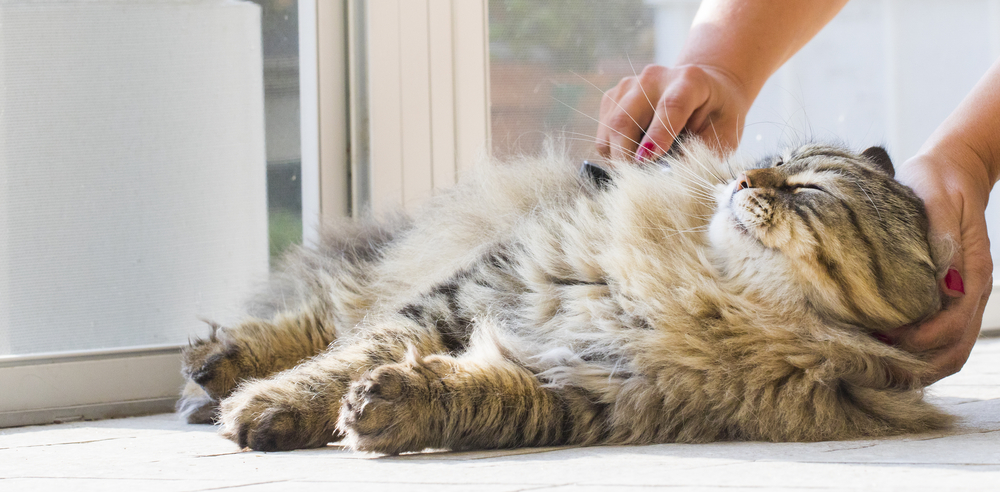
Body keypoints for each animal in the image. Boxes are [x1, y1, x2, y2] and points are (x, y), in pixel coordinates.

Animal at [178, 139, 952, 454]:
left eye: (809, 190)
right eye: (778, 162)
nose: (741, 180)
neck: (701, 291)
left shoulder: (598, 390)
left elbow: (484, 400)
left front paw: (392, 408)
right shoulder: (475, 289)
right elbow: (345, 356)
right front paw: (269, 407)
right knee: (331, 310)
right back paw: (217, 366)